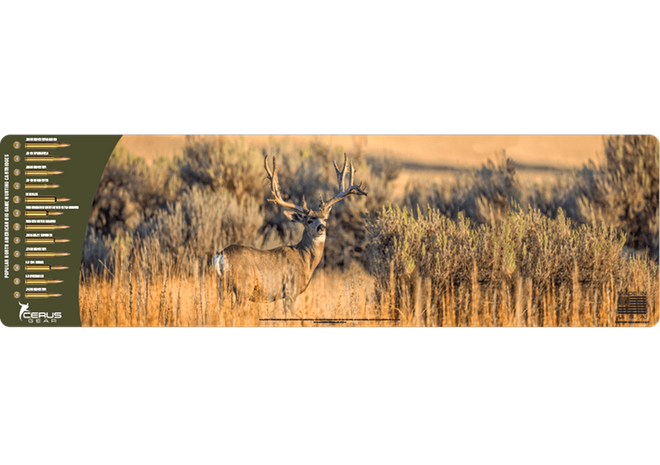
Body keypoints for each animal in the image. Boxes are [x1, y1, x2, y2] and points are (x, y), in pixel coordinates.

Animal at [212, 153, 367, 313]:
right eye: (309, 220)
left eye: (325, 218)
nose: (321, 228)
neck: (304, 259)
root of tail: (221, 255)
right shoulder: (290, 290)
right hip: (243, 287)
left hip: (221, 286)